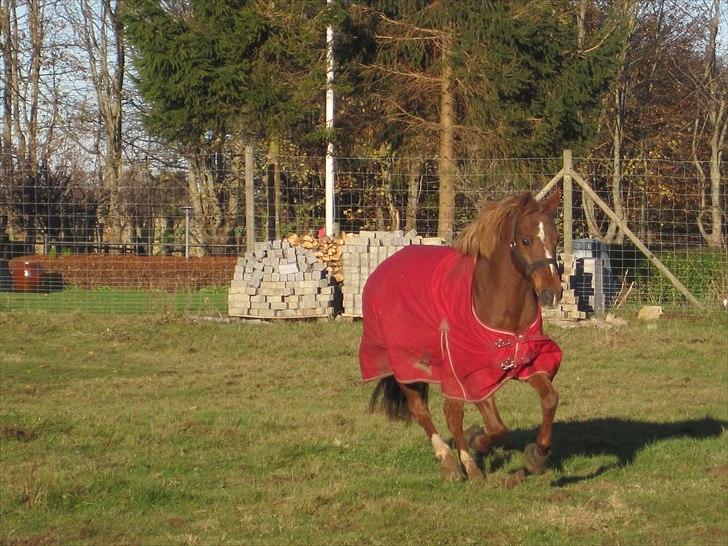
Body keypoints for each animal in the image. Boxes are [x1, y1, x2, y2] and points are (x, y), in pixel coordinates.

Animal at [359, 190, 564, 481]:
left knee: (448, 413)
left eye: (556, 239)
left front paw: (537, 456)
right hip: (405, 366)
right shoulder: (471, 374)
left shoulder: (528, 360)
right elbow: (496, 427)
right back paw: (454, 464)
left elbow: (549, 400)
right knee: (425, 411)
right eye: (526, 239)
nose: (552, 293)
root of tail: (383, 269)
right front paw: (477, 439)